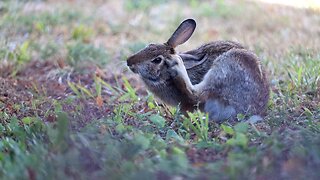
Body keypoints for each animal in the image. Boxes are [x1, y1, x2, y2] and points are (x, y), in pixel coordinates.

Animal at [126, 18, 268, 122]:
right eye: (150, 45)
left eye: (156, 60)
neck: (165, 76)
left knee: (196, 94)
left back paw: (177, 66)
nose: (129, 61)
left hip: (227, 67)